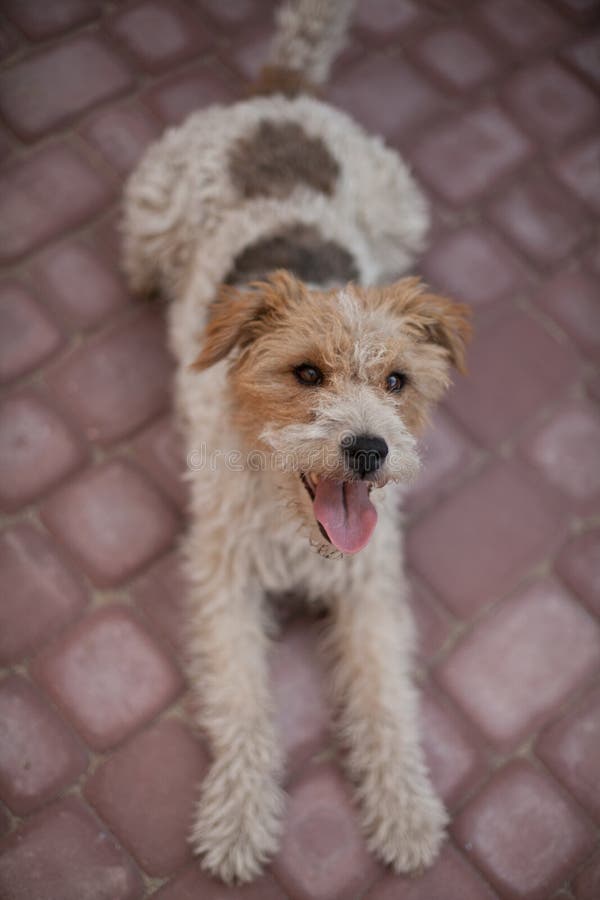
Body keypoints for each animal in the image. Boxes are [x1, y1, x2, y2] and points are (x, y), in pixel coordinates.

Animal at [120, 0, 468, 884]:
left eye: (397, 381)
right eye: (305, 373)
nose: (370, 450)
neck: (292, 530)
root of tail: (280, 96)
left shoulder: (371, 587)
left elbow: (387, 702)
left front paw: (406, 812)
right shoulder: (225, 580)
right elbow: (244, 706)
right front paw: (239, 822)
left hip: (402, 208)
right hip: (150, 209)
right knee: (140, 255)